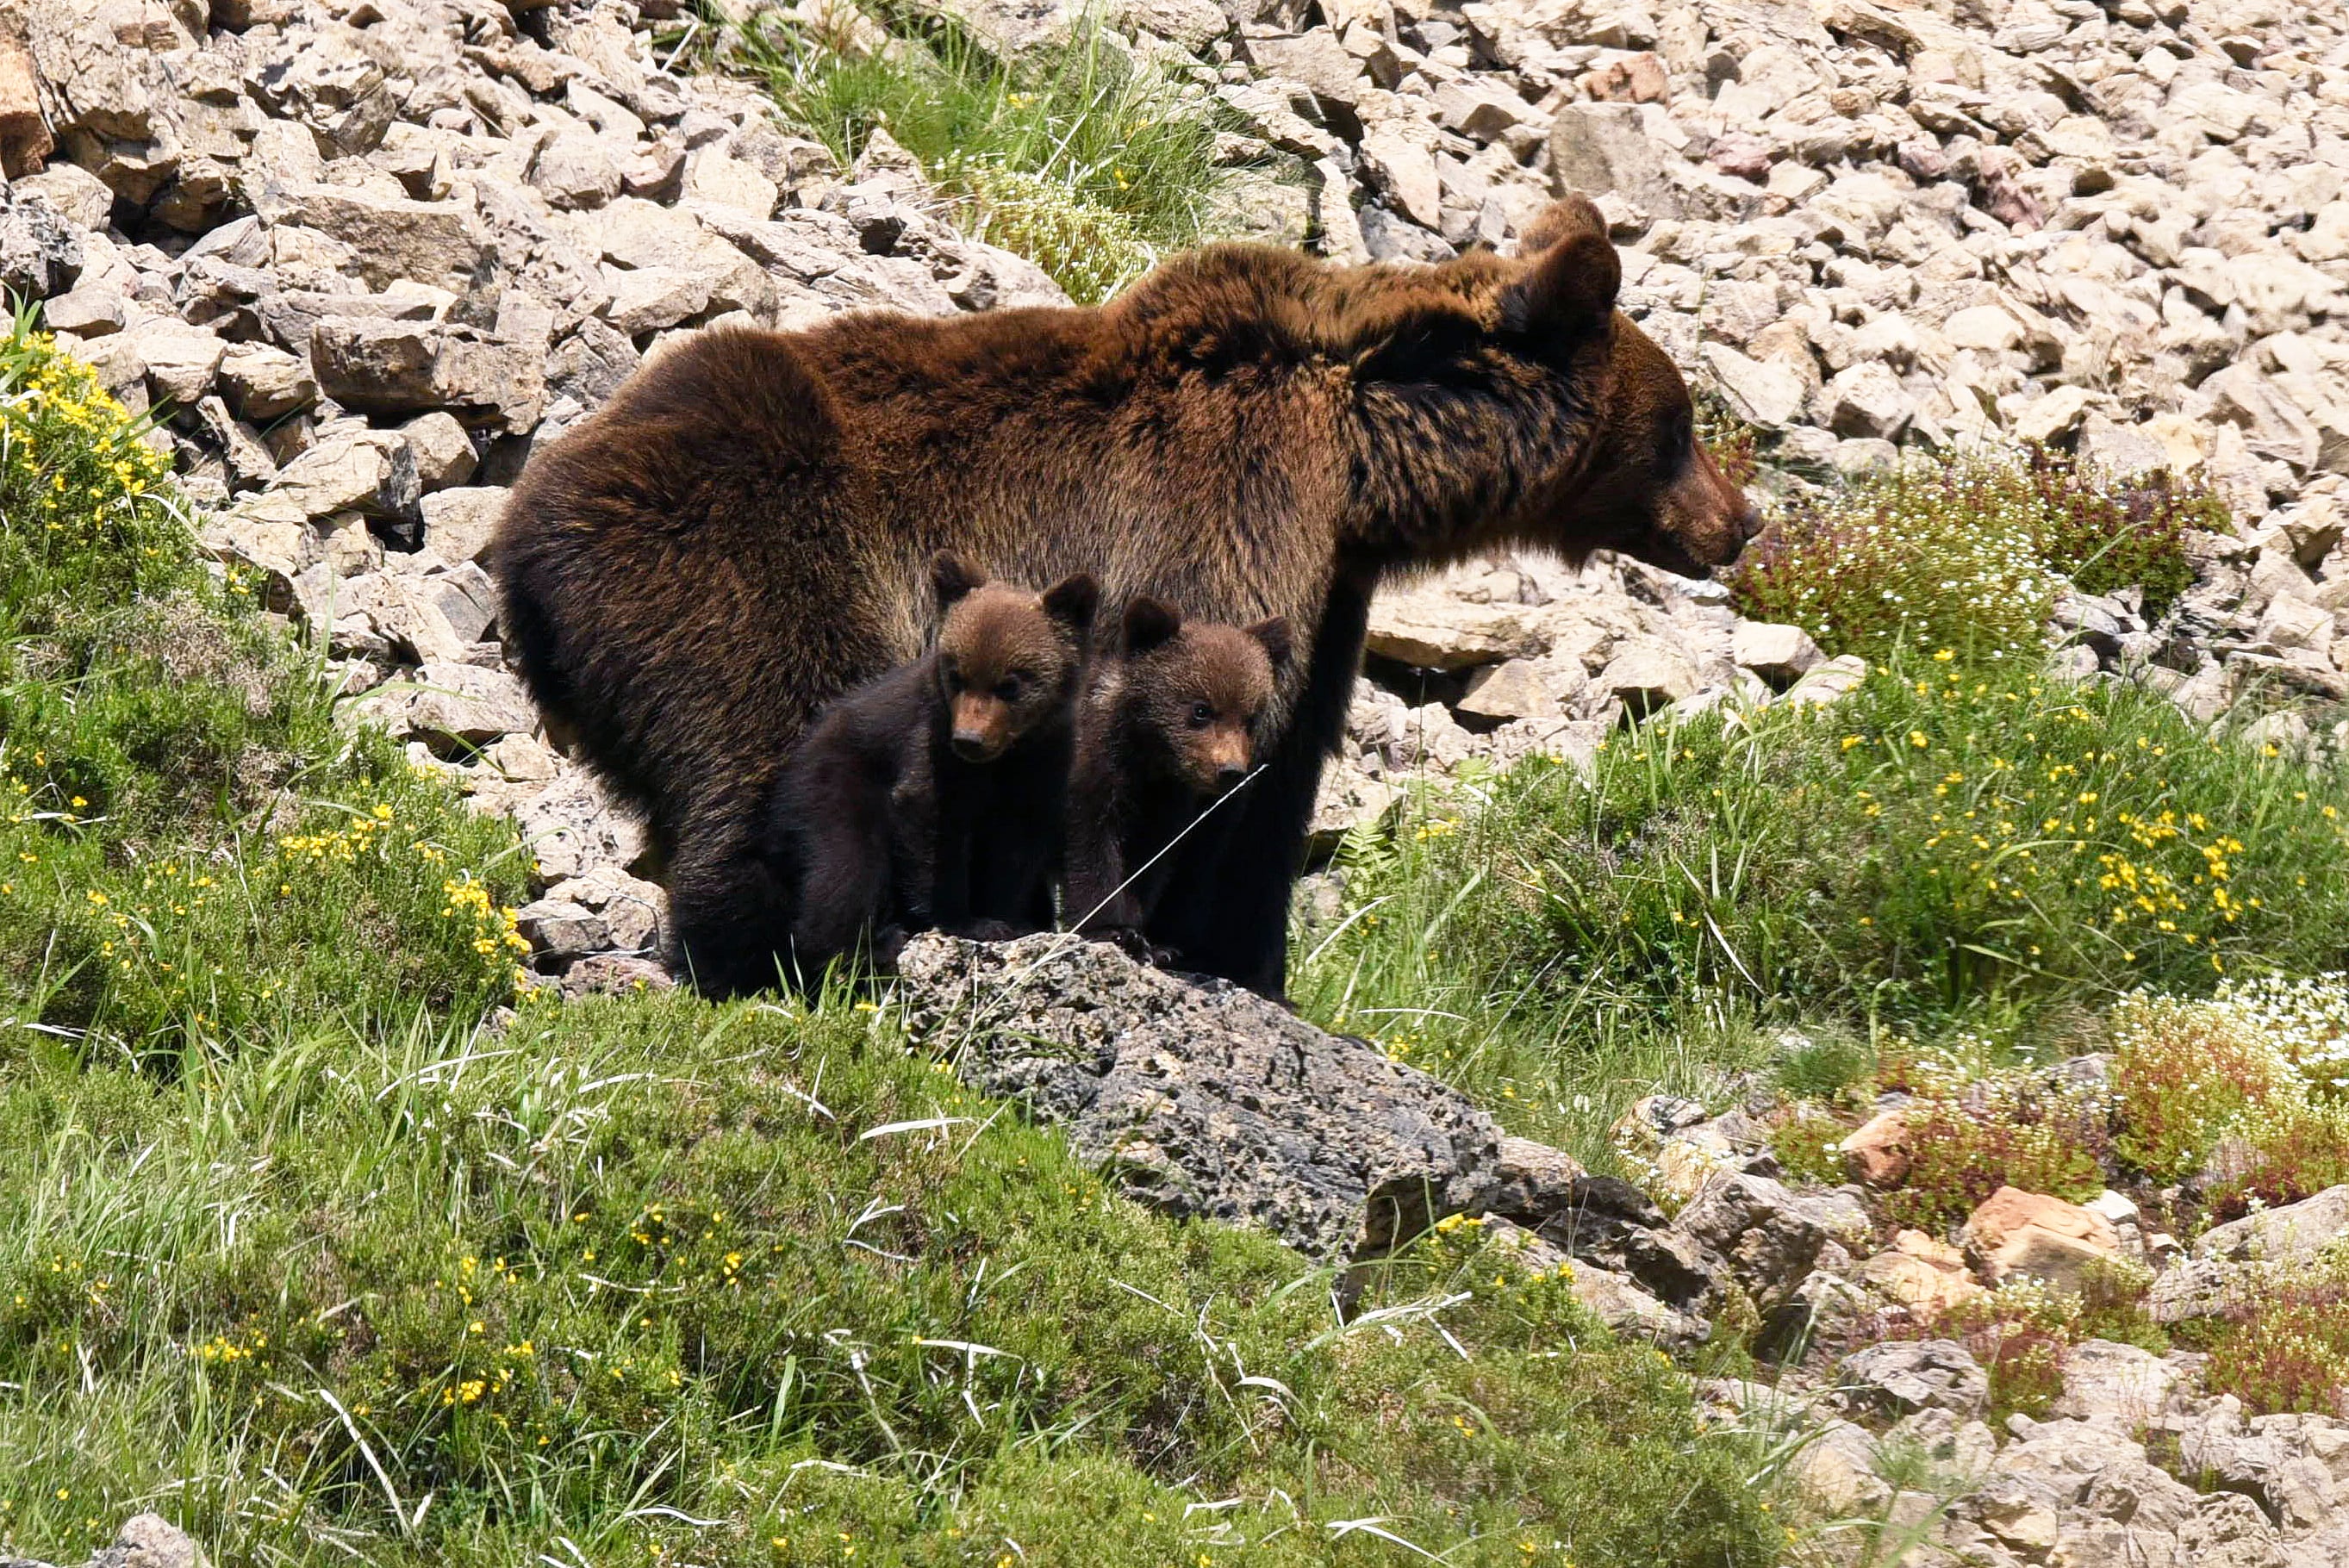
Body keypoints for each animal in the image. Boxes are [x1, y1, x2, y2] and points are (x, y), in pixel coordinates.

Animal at [495, 196, 1766, 999]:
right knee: (773, 743)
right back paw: (775, 947)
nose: (1741, 520)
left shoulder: (1327, 597)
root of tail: (522, 521)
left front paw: (1251, 964)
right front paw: (1151, 932)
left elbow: (1276, 780)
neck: (1361, 471)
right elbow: (1167, 761)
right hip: (740, 565)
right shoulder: (1221, 515)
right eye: (1680, 426)